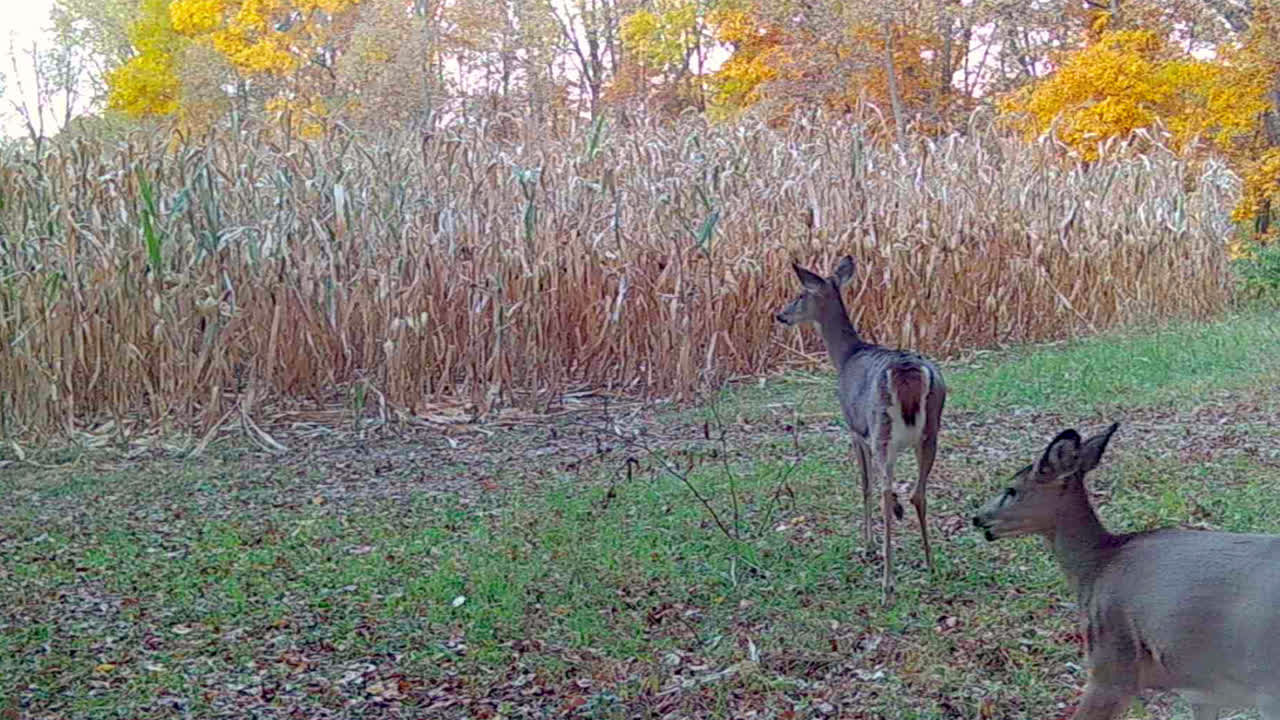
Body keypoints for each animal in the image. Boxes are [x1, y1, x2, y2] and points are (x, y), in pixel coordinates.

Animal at [774, 255, 946, 605]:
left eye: (800, 294)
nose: (780, 315)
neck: (845, 357)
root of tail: (908, 371)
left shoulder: (854, 430)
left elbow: (864, 485)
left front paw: (867, 545)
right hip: (932, 429)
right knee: (918, 492)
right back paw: (930, 563)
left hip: (880, 428)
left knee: (884, 492)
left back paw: (887, 583)